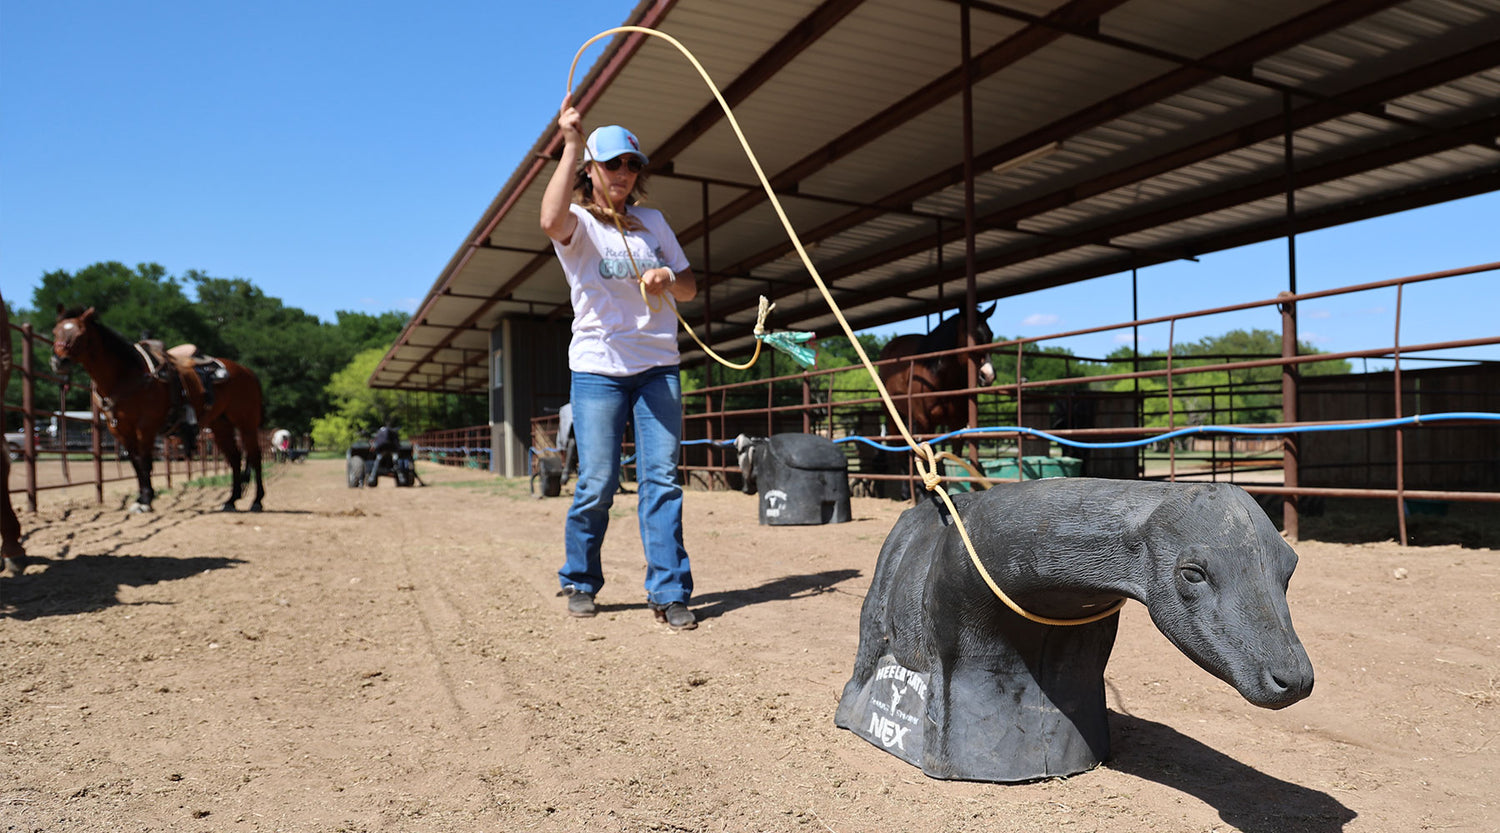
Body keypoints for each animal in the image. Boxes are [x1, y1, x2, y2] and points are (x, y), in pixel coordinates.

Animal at [49, 307, 267, 516]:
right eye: (55, 331)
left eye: (81, 334)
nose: (59, 362)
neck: (127, 375)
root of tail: (248, 372)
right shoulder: (119, 430)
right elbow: (136, 463)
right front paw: (141, 498)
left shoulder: (145, 426)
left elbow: (145, 461)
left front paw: (145, 501)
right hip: (221, 425)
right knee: (235, 458)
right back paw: (231, 500)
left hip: (246, 423)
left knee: (255, 456)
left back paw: (257, 501)